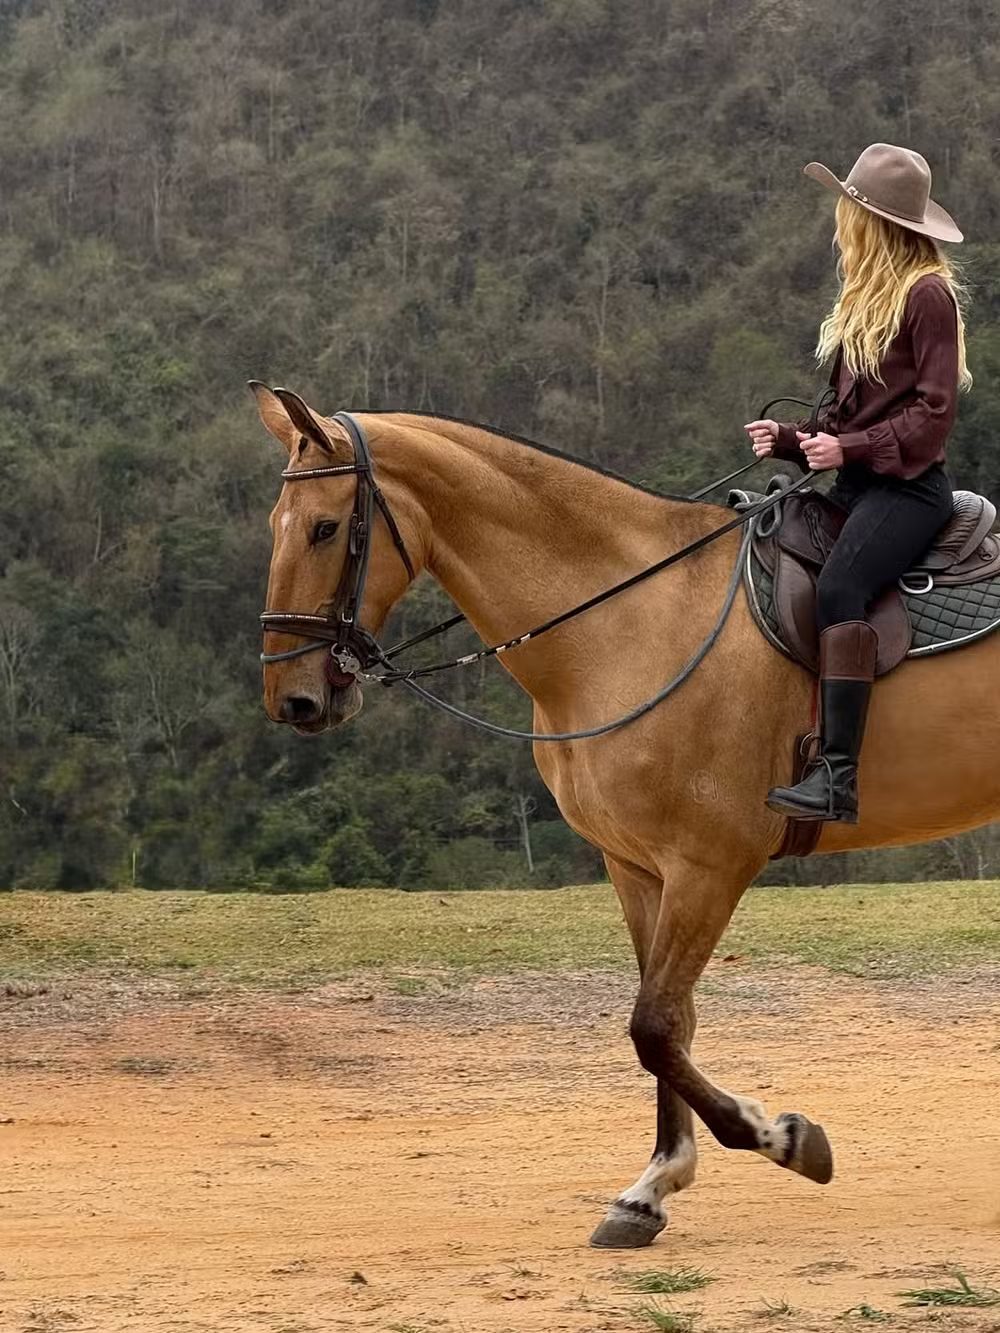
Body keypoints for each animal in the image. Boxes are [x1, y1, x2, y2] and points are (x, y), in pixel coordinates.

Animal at [252, 382, 1000, 1248]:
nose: (292, 697)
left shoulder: (710, 866)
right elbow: (670, 1023)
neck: (635, 619)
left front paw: (782, 1136)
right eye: (277, 525)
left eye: (324, 527)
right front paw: (652, 1187)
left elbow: (654, 1025)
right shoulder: (638, 867)